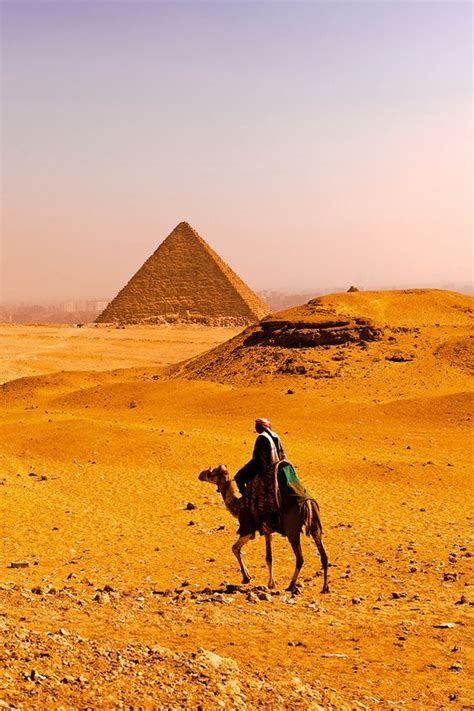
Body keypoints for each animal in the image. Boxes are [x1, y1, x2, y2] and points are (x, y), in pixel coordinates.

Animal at [198, 464, 328, 592]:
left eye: (212, 472)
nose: (200, 475)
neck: (238, 506)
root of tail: (308, 503)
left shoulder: (248, 529)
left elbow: (235, 548)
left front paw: (247, 578)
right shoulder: (267, 530)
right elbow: (269, 557)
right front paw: (269, 582)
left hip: (293, 531)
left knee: (300, 558)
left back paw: (291, 585)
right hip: (316, 527)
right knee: (324, 556)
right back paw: (325, 587)